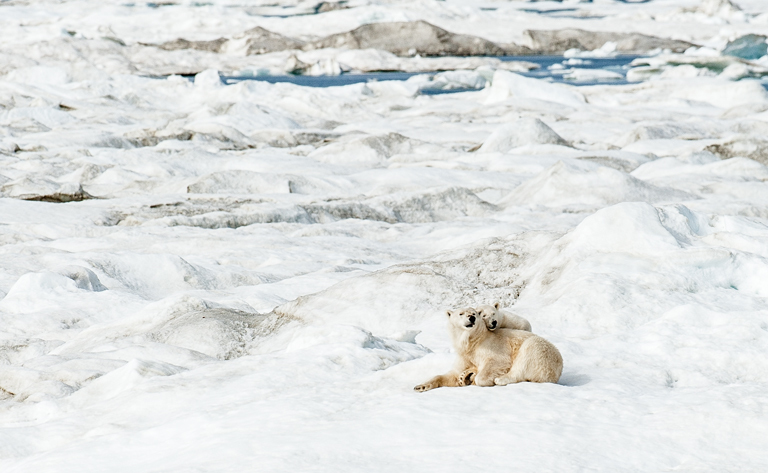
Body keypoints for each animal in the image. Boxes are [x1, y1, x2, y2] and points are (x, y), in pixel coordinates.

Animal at [414, 304, 564, 390]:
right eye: (461, 313)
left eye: (474, 313)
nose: (471, 317)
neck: (472, 342)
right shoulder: (464, 355)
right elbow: (452, 374)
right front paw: (420, 386)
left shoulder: (493, 347)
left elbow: (496, 361)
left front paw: (480, 379)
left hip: (543, 353)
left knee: (526, 356)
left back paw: (500, 379)